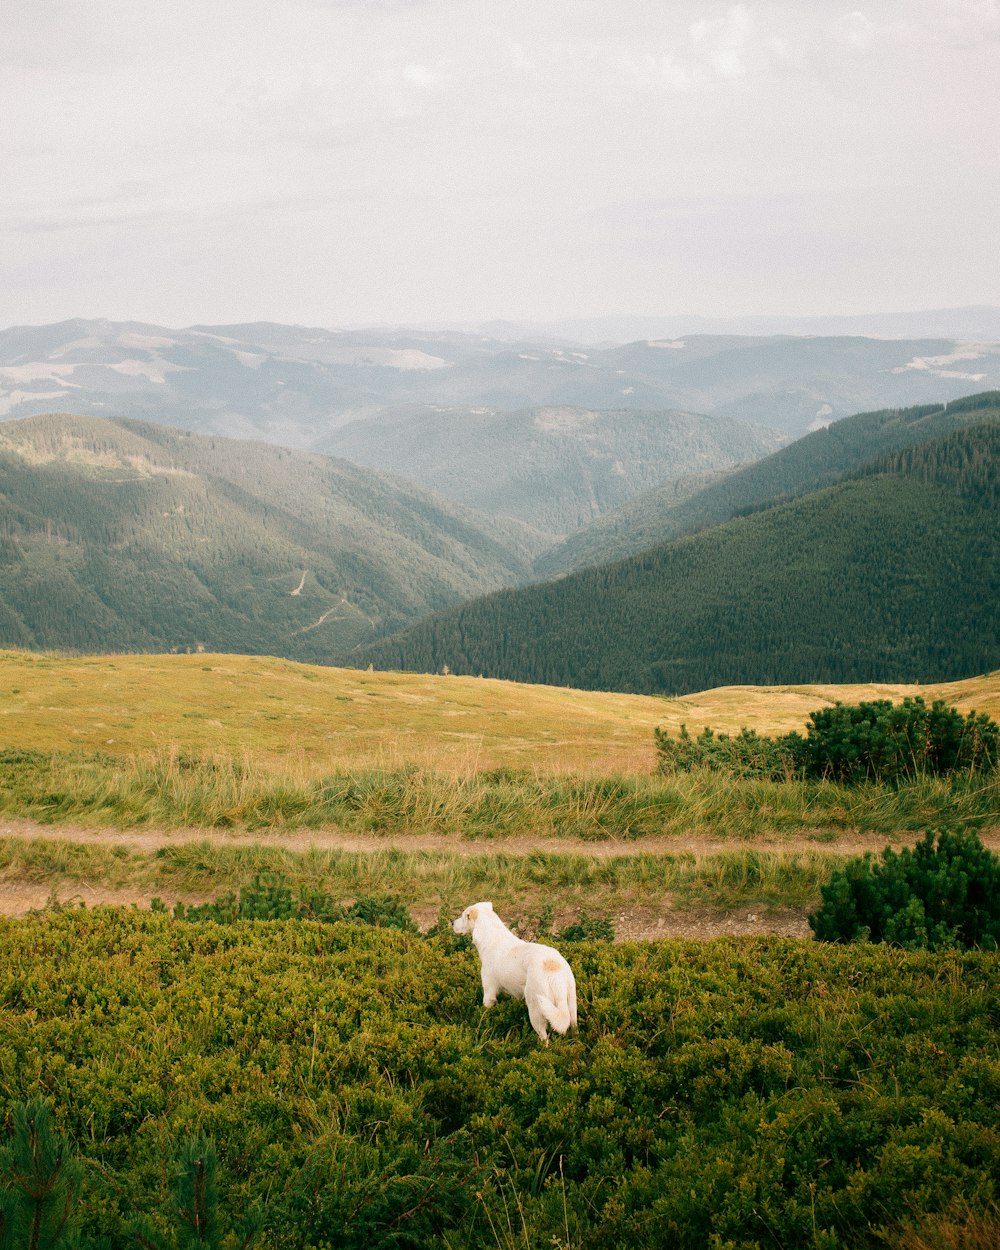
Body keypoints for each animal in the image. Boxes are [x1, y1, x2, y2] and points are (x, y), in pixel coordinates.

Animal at [452, 905, 577, 1040]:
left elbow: (484, 1012)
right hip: (571, 1005)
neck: (491, 936)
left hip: (536, 1009)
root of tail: (554, 970)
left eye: (464, 916)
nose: (452, 923)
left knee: (544, 1038)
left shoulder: (489, 993)